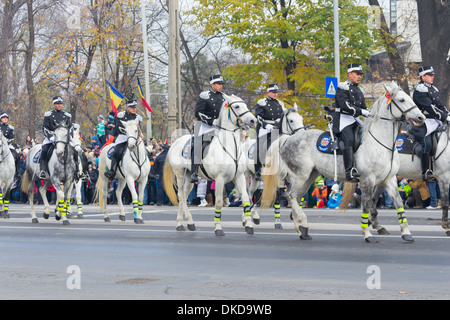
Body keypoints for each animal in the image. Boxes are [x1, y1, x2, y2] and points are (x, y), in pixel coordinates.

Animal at [164, 92, 256, 235]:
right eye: (236, 106)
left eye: (245, 104)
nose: (253, 120)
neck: (231, 147)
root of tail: (175, 142)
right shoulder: (219, 179)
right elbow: (218, 202)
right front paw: (218, 228)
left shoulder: (239, 177)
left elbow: (246, 199)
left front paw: (249, 225)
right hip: (179, 174)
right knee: (180, 195)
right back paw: (184, 223)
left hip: (189, 177)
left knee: (184, 195)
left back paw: (185, 223)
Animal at [262, 82, 424, 242]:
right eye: (402, 100)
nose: (421, 117)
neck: (382, 143)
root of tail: (288, 138)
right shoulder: (367, 179)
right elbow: (366, 205)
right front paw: (367, 234)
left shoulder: (389, 179)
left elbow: (399, 202)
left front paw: (406, 232)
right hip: (300, 175)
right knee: (289, 195)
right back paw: (302, 223)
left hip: (309, 176)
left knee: (295, 196)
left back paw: (302, 229)